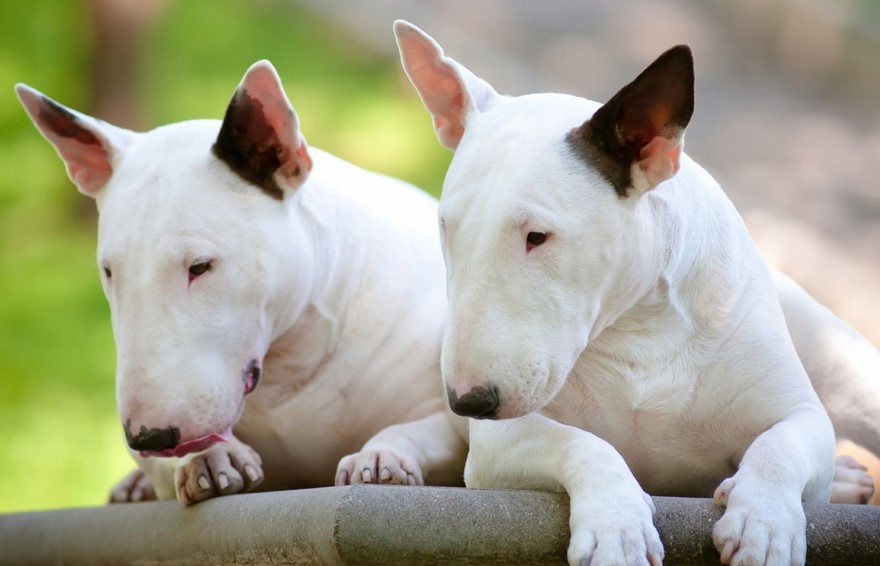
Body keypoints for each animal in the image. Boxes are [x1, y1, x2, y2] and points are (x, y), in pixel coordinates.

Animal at [15, 61, 468, 506]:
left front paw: (380, 459)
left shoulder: (443, 413)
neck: (289, 362)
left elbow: (421, 431)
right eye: (109, 271)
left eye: (200, 266)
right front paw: (210, 459)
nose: (150, 437)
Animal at [398, 20, 880, 564]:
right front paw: (617, 526)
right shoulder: (497, 443)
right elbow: (580, 442)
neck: (639, 327)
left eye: (537, 236)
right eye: (447, 226)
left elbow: (781, 445)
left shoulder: (800, 414)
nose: (469, 402)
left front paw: (765, 523)